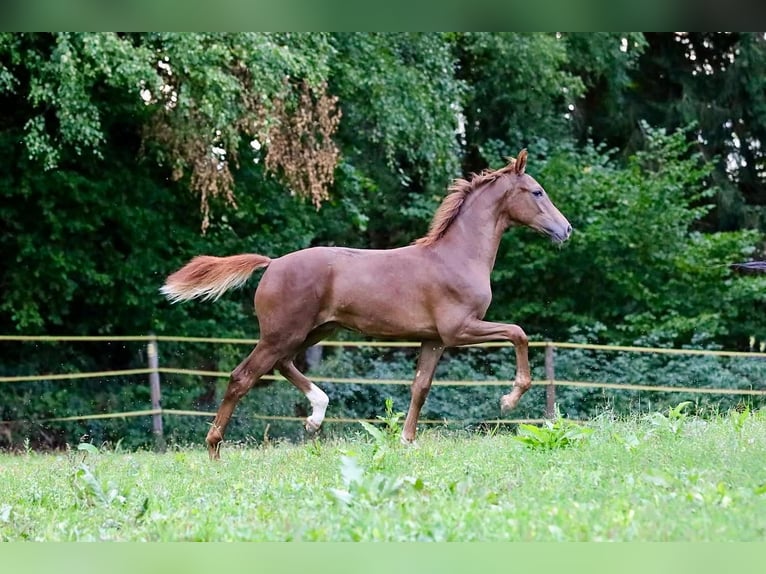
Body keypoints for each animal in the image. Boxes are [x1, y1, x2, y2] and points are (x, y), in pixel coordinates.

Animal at [161, 150, 572, 459]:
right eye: (537, 192)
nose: (565, 230)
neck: (457, 256)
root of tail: (272, 263)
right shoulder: (460, 329)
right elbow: (518, 333)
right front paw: (509, 400)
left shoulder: (434, 339)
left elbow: (420, 387)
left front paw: (407, 441)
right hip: (283, 333)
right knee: (242, 377)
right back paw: (214, 448)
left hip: (313, 331)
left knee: (281, 364)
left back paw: (316, 415)